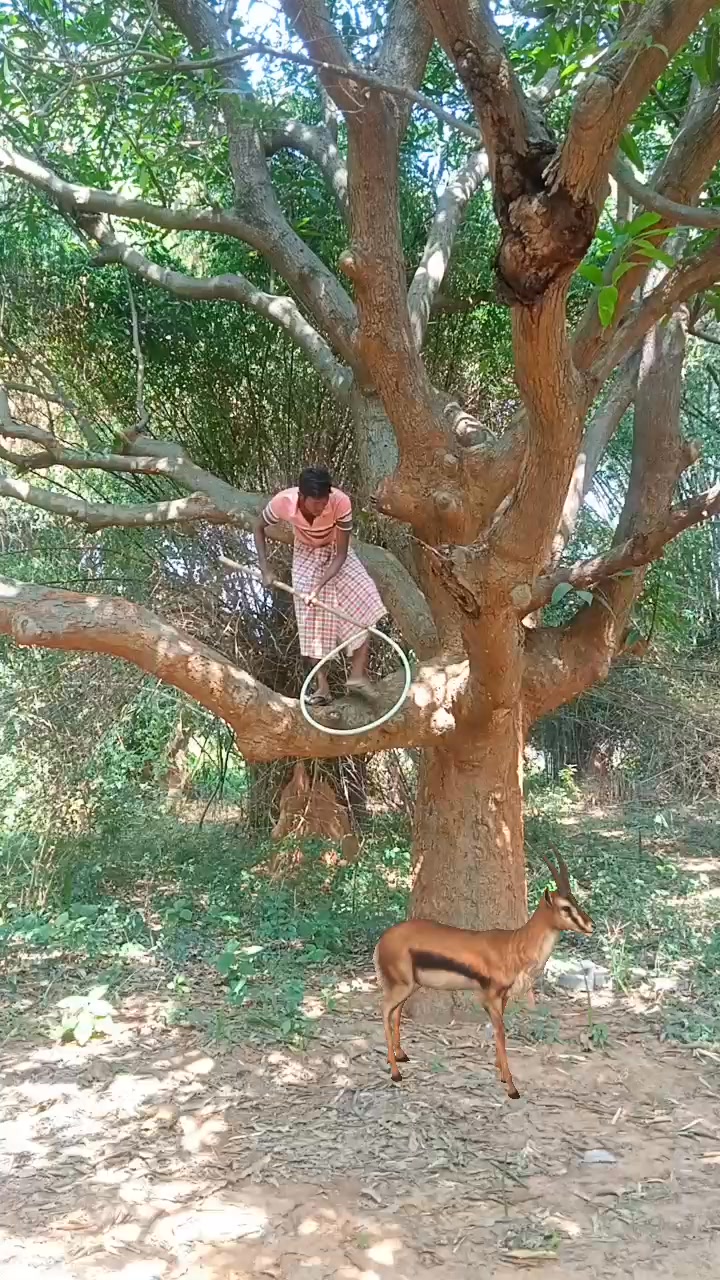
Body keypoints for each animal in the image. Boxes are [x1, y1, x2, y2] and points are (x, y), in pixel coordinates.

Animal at [373, 851, 592, 1099]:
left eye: (575, 901)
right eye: (565, 907)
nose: (591, 925)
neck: (514, 946)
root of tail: (382, 941)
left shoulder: (503, 997)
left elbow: (498, 1032)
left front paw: (501, 1073)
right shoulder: (489, 998)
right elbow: (501, 1033)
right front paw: (511, 1087)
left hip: (412, 985)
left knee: (396, 1012)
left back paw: (401, 1055)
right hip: (402, 986)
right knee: (384, 1010)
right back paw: (395, 1073)